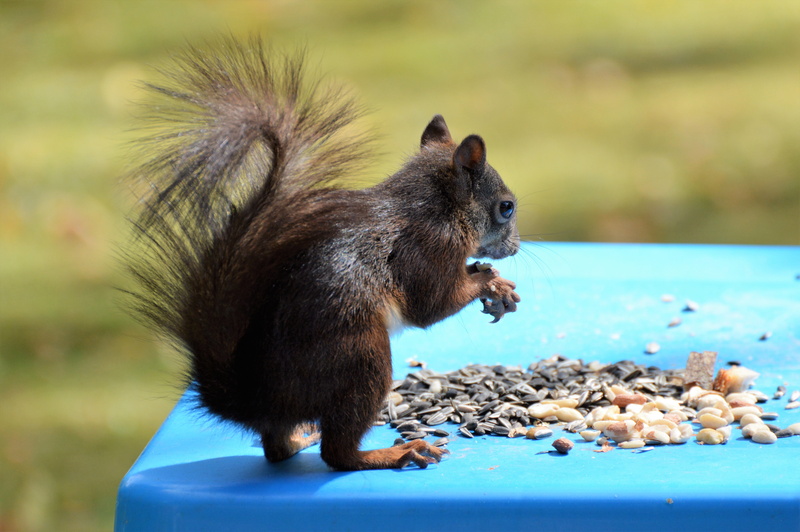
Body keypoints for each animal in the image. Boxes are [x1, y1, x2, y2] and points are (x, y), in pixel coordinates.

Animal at [123, 37, 521, 471]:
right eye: (505, 207)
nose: (516, 247)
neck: (437, 207)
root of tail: (253, 401)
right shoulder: (428, 248)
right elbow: (430, 305)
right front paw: (491, 281)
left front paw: (489, 278)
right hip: (360, 357)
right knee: (338, 454)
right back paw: (392, 452)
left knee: (277, 448)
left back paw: (300, 439)